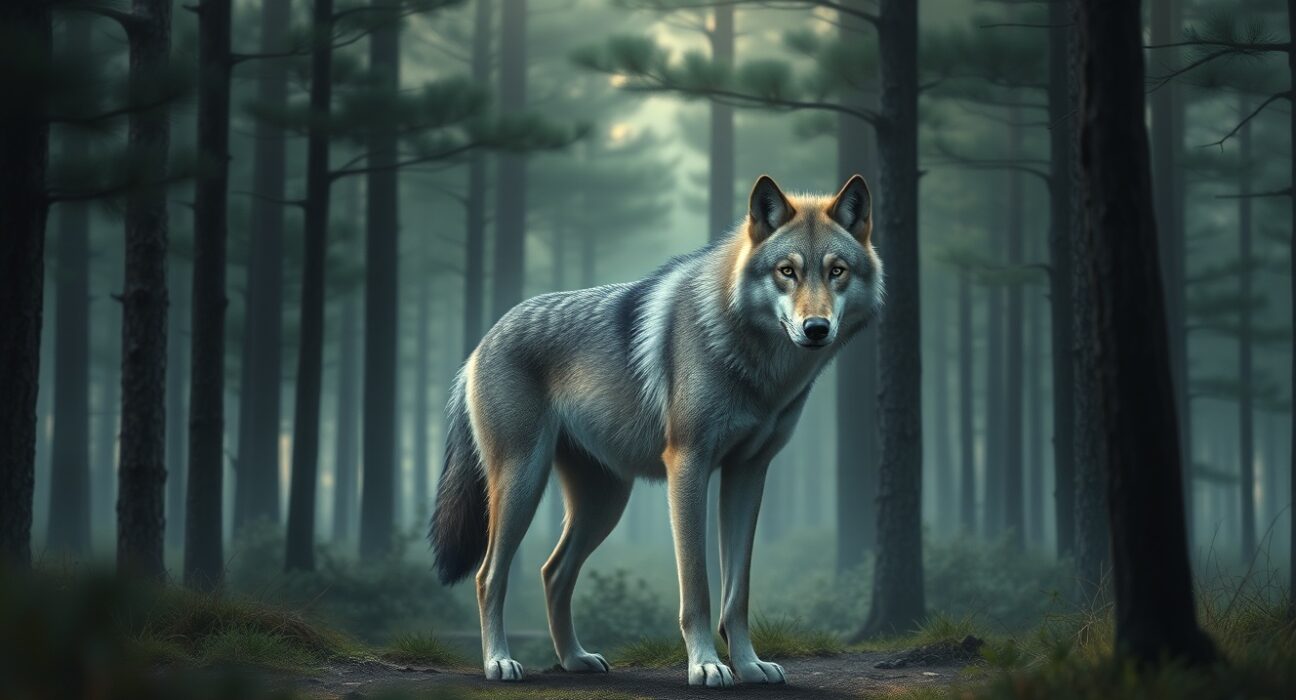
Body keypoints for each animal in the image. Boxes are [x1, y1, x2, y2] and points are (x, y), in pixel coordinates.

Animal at [429, 174, 883, 687]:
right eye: (787, 271)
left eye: (837, 271)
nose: (816, 328)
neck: (756, 364)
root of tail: (480, 344)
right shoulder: (687, 466)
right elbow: (697, 588)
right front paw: (706, 665)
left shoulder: (748, 473)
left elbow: (738, 593)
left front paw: (749, 666)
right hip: (523, 484)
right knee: (489, 575)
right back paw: (498, 662)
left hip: (604, 504)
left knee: (553, 572)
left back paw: (575, 659)